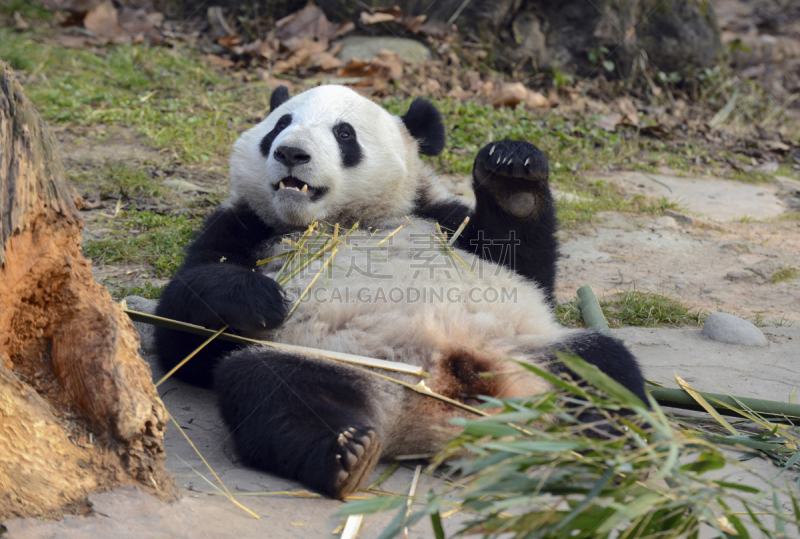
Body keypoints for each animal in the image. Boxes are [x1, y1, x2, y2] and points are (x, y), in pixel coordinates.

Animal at [153, 85, 648, 502]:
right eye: (280, 123)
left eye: (344, 133)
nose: (291, 152)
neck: (339, 221)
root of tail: (436, 415)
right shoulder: (246, 226)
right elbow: (184, 340)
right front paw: (261, 298)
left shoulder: (438, 219)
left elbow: (528, 271)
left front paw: (514, 177)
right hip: (332, 360)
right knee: (268, 391)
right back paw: (346, 454)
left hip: (529, 353)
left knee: (605, 367)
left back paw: (606, 445)